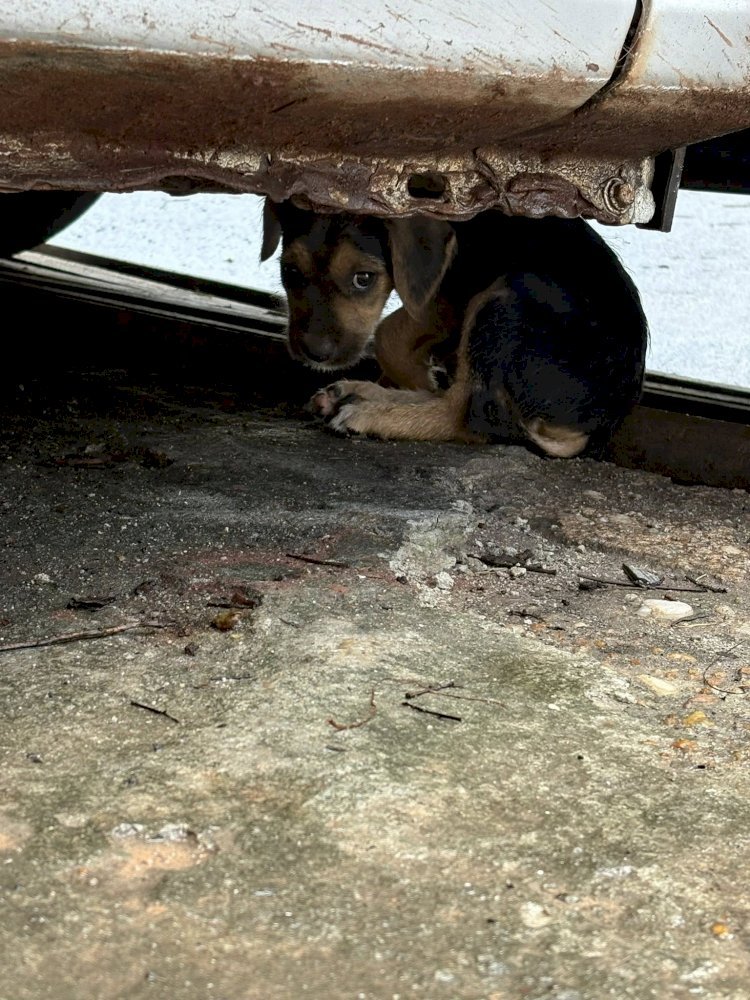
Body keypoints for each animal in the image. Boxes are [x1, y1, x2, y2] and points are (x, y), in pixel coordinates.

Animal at [261, 199, 648, 457]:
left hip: (509, 297)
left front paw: (415, 379)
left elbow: (389, 333)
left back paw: (375, 410)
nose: (315, 354)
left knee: (471, 414)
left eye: (363, 278)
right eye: (290, 272)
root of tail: (599, 424)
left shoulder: (446, 294)